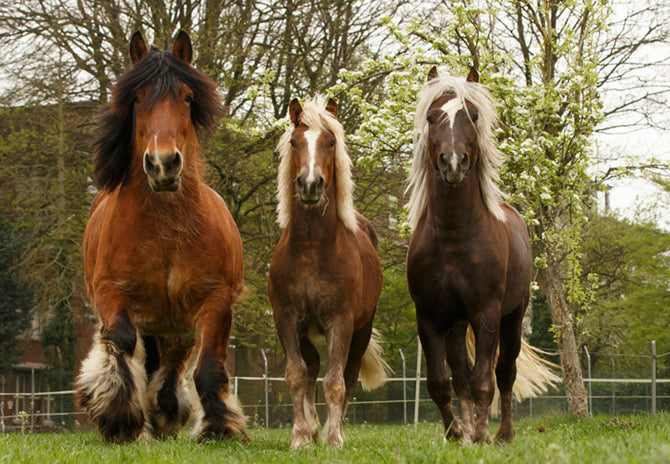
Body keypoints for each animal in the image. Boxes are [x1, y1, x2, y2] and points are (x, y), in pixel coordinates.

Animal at [75, 31, 246, 443]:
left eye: (186, 97)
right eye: (137, 98)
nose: (163, 163)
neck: (167, 231)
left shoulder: (215, 301)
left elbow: (209, 366)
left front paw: (219, 427)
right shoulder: (111, 292)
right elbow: (120, 340)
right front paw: (119, 417)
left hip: (176, 327)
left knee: (171, 365)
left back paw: (166, 412)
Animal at [268, 96, 389, 448]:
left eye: (331, 142)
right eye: (295, 142)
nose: (310, 184)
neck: (311, 250)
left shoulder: (341, 321)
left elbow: (336, 381)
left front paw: (333, 437)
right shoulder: (286, 318)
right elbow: (296, 375)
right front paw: (300, 436)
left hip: (361, 330)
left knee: (348, 374)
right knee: (311, 367)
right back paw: (310, 427)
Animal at [406, 66, 559, 443]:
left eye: (472, 116)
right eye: (432, 116)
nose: (453, 162)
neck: (452, 237)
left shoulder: (487, 312)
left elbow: (484, 381)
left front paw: (482, 435)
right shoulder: (429, 317)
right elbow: (441, 383)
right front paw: (457, 434)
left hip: (512, 319)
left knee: (504, 372)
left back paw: (502, 433)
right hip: (457, 326)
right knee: (460, 375)